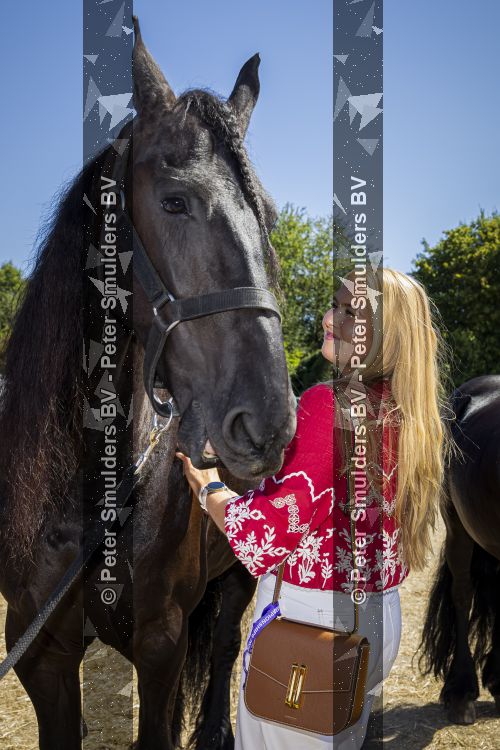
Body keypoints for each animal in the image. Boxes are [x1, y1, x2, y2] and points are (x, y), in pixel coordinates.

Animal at [0, 19, 296, 749]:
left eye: (268, 218)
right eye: (174, 200)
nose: (267, 422)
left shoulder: (161, 646)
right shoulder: (38, 651)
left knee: (224, 642)